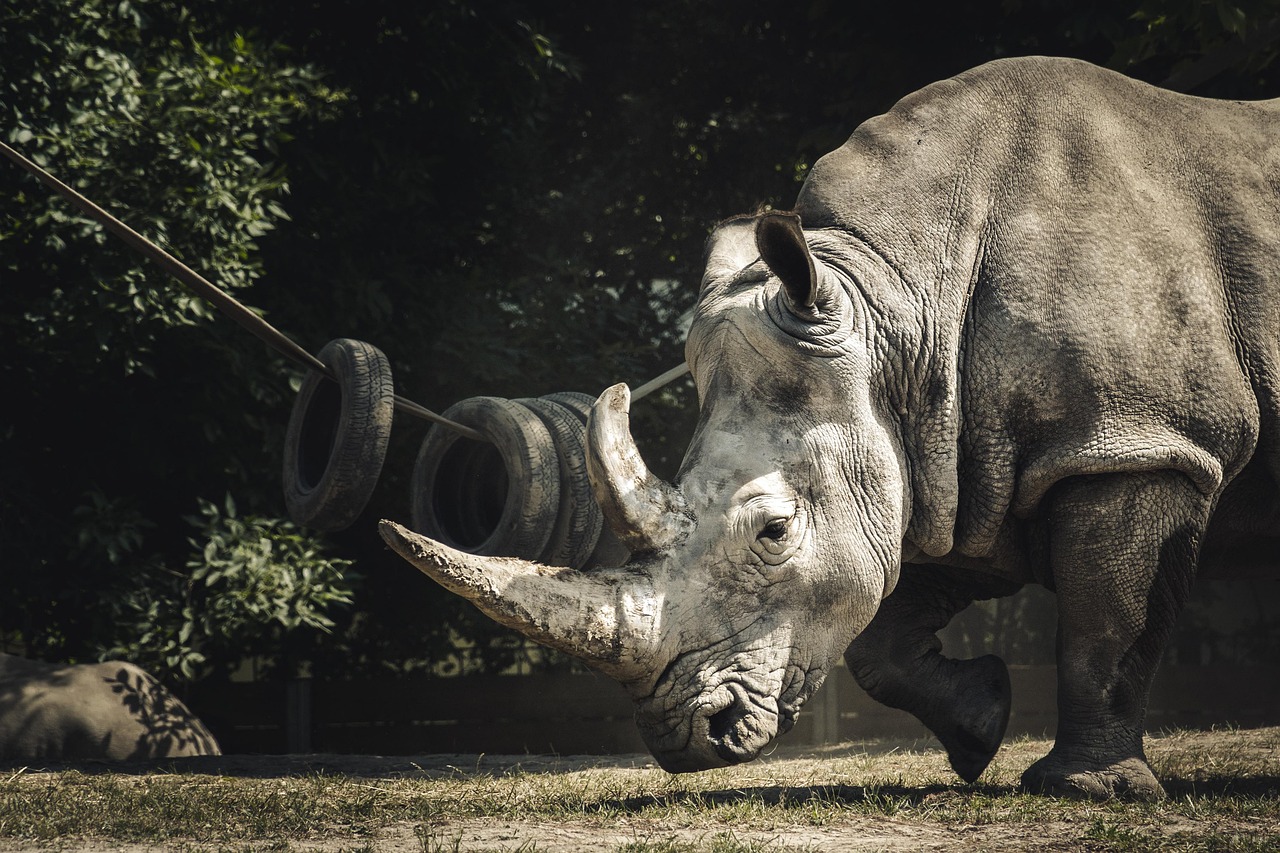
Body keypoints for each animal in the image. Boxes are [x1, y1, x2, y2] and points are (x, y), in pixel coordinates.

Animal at [381, 55, 1279, 800]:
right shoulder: (958, 462)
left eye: (774, 531)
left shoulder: (1136, 443)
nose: (684, 739)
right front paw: (981, 725)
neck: (903, 304)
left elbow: (1108, 621)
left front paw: (1087, 789)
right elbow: (883, 640)